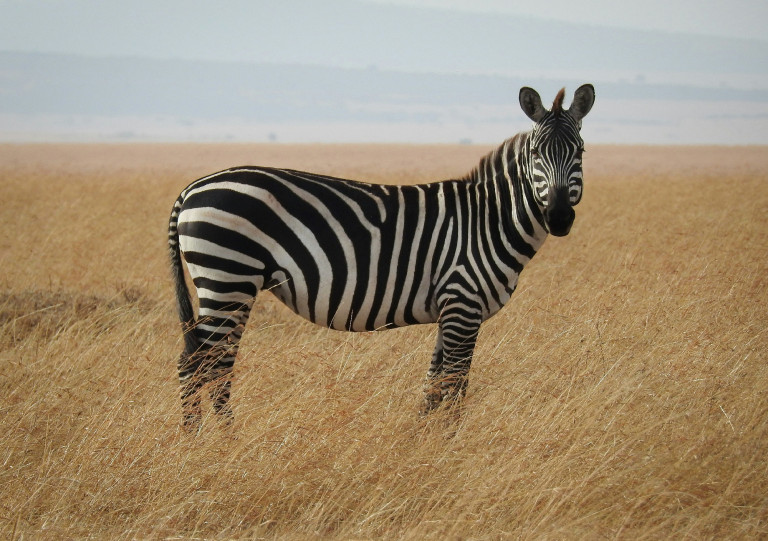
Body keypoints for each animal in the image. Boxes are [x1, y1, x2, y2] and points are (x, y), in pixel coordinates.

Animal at [171, 84, 596, 428]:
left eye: (580, 152)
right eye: (537, 153)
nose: (559, 217)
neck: (488, 220)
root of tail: (193, 187)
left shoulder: (450, 310)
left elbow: (433, 386)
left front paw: (421, 443)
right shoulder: (463, 303)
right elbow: (455, 385)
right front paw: (452, 445)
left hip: (230, 285)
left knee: (205, 363)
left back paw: (204, 441)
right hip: (229, 278)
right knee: (203, 366)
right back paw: (216, 444)